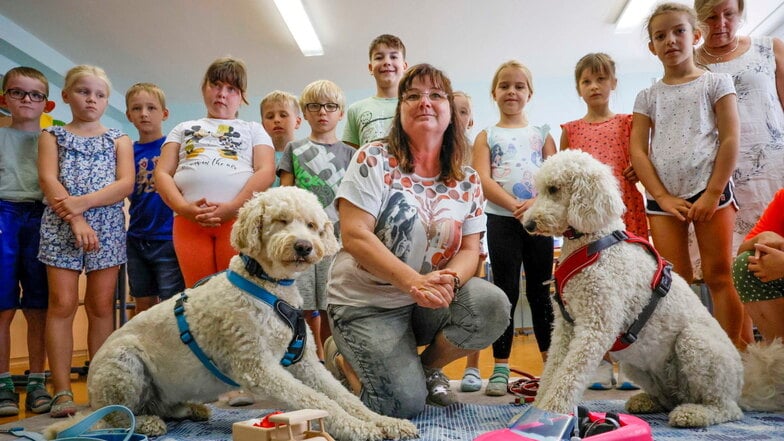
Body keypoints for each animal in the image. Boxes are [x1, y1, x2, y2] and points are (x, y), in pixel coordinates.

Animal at [78, 186, 416, 440]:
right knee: (115, 417)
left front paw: (385, 422)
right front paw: (358, 428)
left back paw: (191, 410)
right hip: (123, 364)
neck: (268, 287)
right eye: (280, 220)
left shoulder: (305, 362)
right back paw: (145, 423)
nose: (304, 246)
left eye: (311, 225)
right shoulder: (260, 368)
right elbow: (316, 400)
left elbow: (342, 395)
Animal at [520, 150, 784, 424]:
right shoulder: (565, 328)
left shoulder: (595, 327)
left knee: (726, 408)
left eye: (554, 189)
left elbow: (568, 376)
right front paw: (534, 411)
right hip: (636, 364)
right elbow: (552, 371)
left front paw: (549, 414)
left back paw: (695, 413)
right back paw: (646, 401)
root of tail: (741, 386)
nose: (528, 225)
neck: (592, 243)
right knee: (669, 399)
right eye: (540, 189)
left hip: (695, 342)